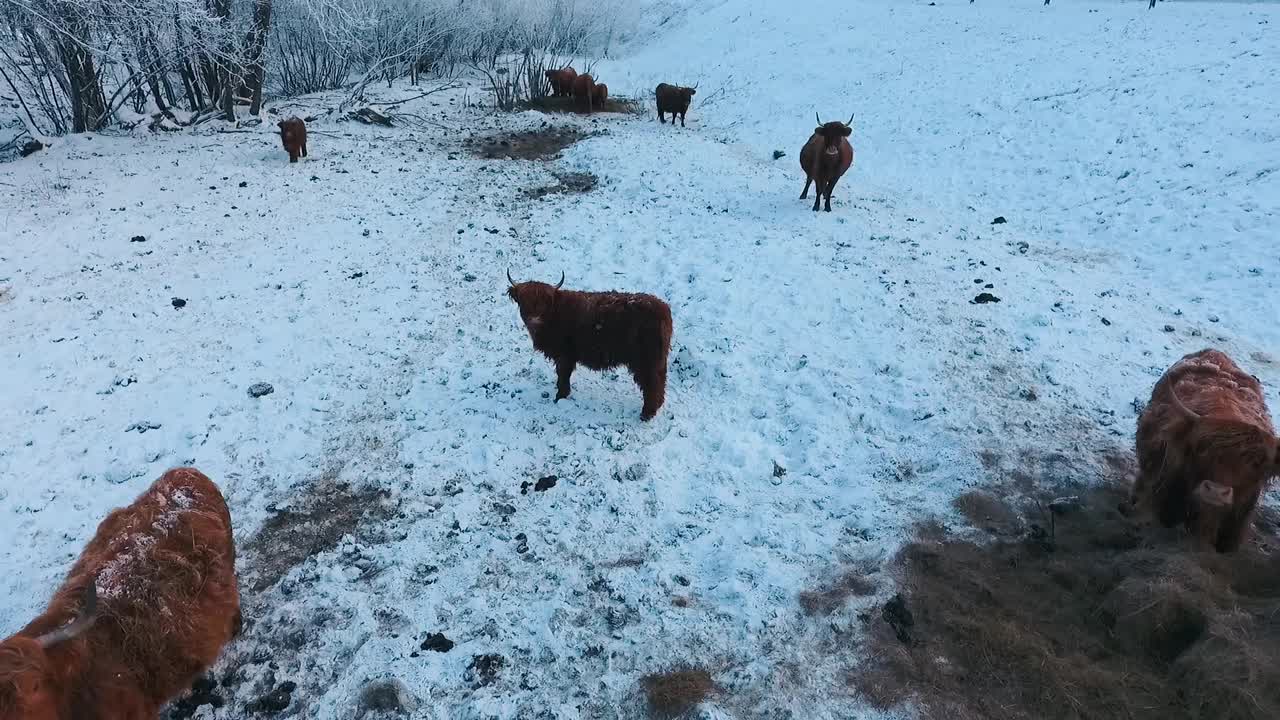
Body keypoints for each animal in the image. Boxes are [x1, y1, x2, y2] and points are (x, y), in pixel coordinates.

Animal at [504, 269, 675, 420]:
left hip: (646, 361)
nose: (534, 320)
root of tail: (664, 310)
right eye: (524, 300)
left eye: (544, 303)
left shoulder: (564, 355)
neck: (554, 313)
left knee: (652, 385)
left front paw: (560, 396)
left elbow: (562, 375)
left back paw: (646, 414)